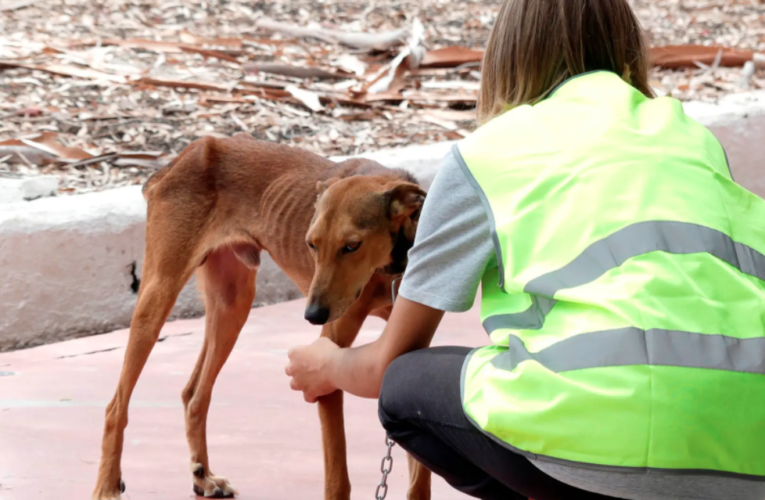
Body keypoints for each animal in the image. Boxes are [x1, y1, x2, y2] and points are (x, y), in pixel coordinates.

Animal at [91, 133, 430, 500]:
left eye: (352, 246)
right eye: (311, 244)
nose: (312, 315)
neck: (390, 267)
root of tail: (182, 158)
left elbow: (419, 479)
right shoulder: (326, 358)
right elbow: (338, 480)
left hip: (232, 306)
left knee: (195, 395)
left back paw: (203, 476)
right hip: (158, 298)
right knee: (116, 407)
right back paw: (107, 486)